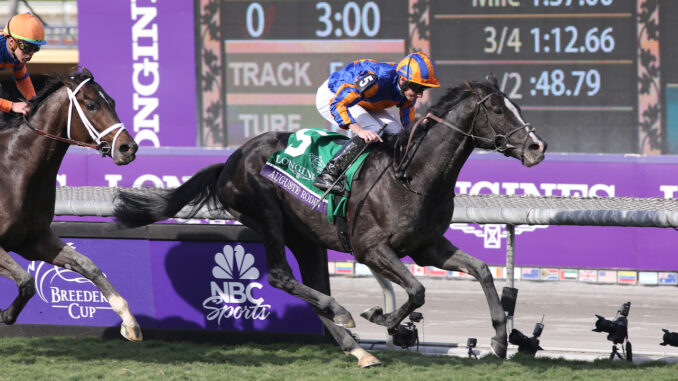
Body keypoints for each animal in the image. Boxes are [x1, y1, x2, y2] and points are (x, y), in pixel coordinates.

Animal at [0, 67, 142, 340]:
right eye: (91, 104)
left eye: (113, 102)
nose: (128, 148)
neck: (14, 170)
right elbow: (26, 281)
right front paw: (6, 314)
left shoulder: (34, 240)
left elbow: (89, 266)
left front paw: (129, 322)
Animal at [115, 76, 548, 366]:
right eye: (497, 110)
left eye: (516, 107)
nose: (537, 147)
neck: (412, 176)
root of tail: (230, 162)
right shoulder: (371, 248)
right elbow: (417, 290)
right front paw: (384, 319)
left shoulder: (428, 246)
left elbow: (482, 271)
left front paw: (499, 340)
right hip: (267, 214)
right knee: (281, 276)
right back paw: (343, 314)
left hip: (306, 238)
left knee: (310, 285)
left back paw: (355, 346)